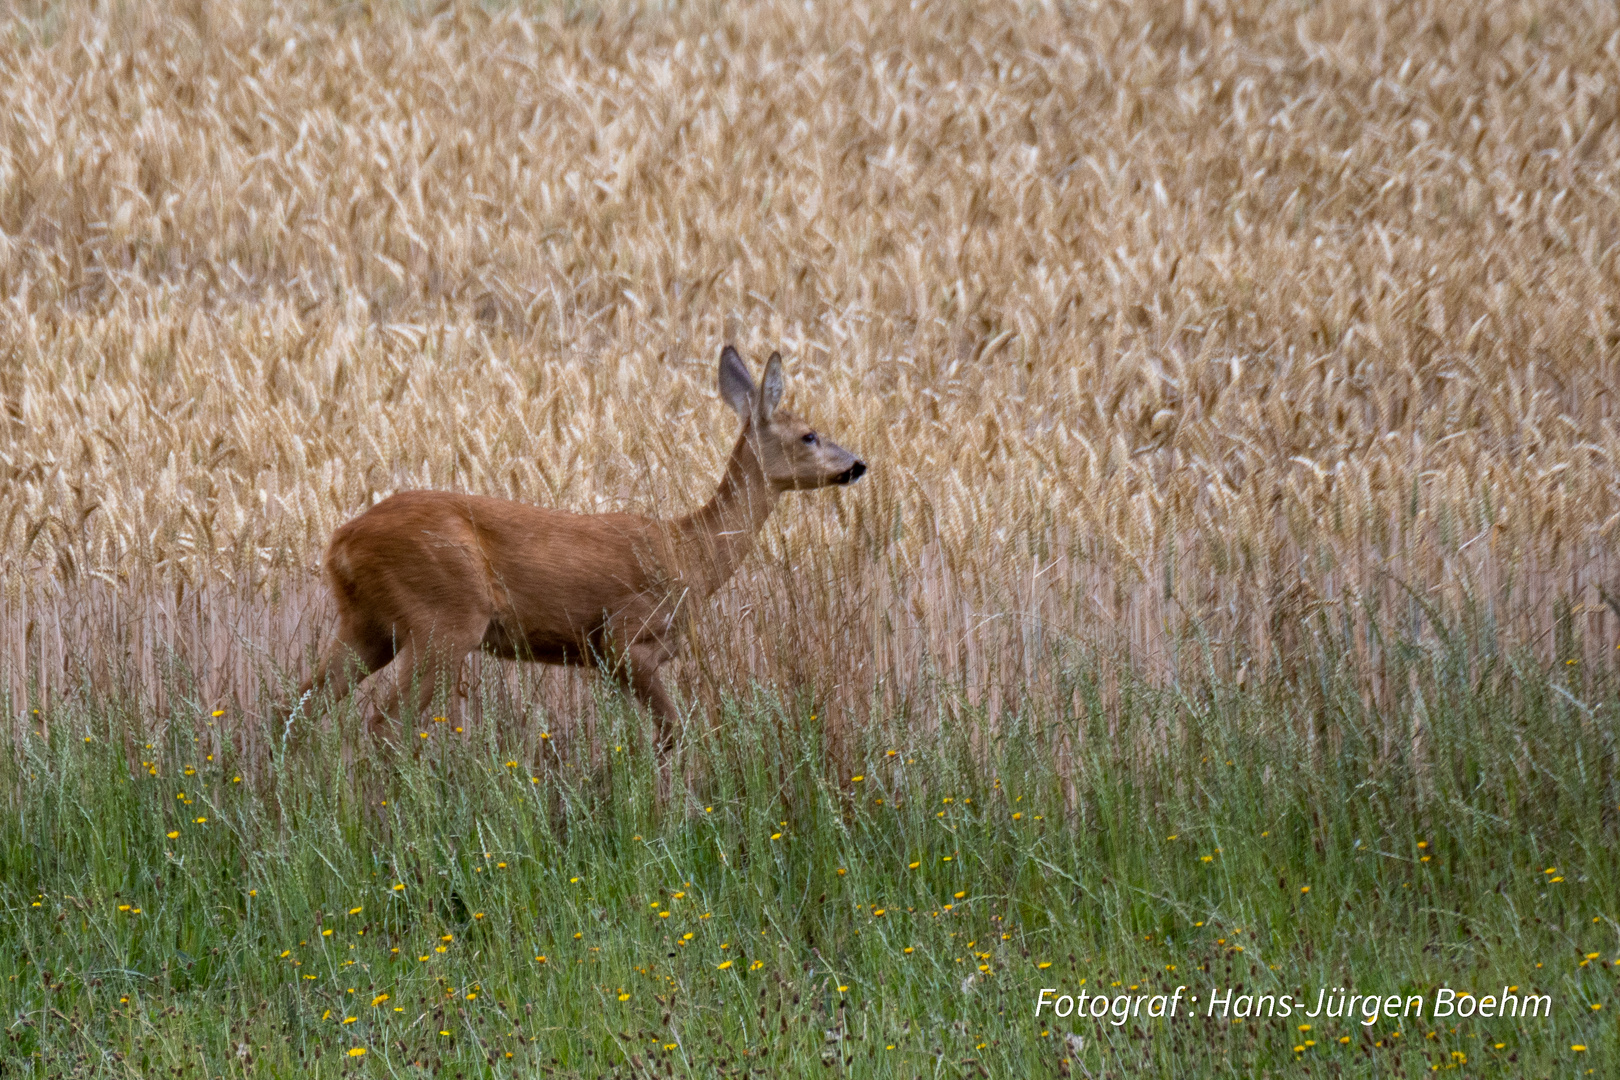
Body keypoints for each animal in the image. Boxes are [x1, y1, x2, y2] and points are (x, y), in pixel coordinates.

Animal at [296, 346, 868, 751]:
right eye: (810, 435)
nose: (858, 464)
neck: (693, 553)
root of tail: (341, 541)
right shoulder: (622, 637)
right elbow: (672, 733)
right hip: (444, 618)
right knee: (380, 724)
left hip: (367, 626)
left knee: (295, 711)